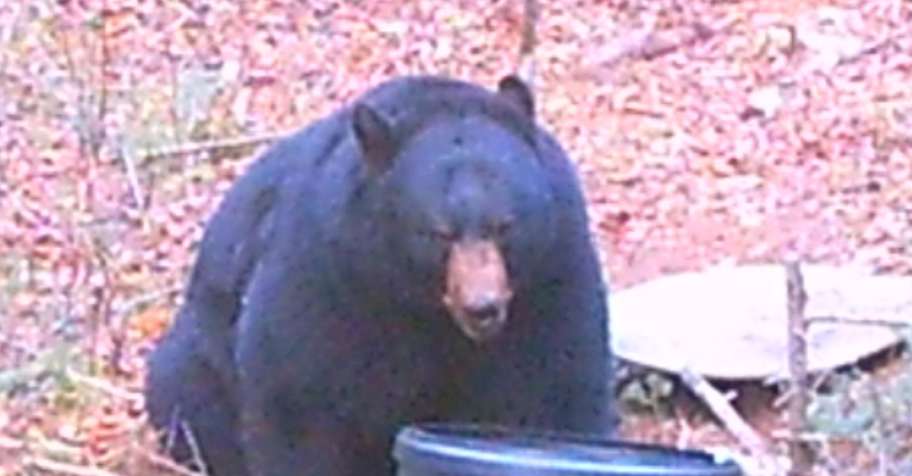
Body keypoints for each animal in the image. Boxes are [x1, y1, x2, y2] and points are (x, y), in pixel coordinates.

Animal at [145, 74, 615, 476]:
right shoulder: (330, 270)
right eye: (438, 232)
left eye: (504, 225)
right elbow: (301, 399)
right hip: (199, 359)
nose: (483, 307)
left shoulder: (551, 274)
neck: (426, 308)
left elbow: (555, 391)